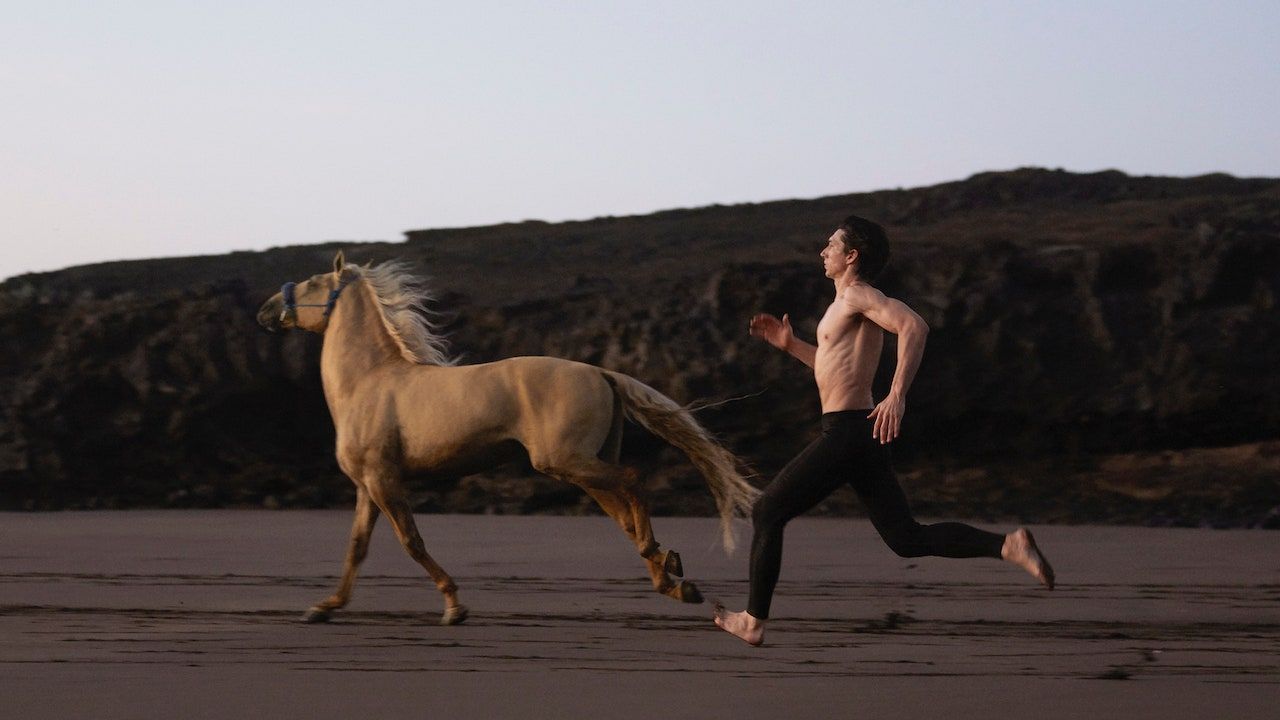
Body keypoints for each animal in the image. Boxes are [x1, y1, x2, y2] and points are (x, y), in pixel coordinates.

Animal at [256, 251, 759, 625]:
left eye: (312, 282)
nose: (265, 310)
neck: (367, 383)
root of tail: (601, 372)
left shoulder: (383, 480)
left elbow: (411, 541)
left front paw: (454, 606)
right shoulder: (367, 485)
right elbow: (357, 547)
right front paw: (324, 608)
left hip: (565, 460)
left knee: (634, 483)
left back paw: (662, 560)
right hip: (583, 464)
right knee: (624, 513)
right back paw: (674, 579)